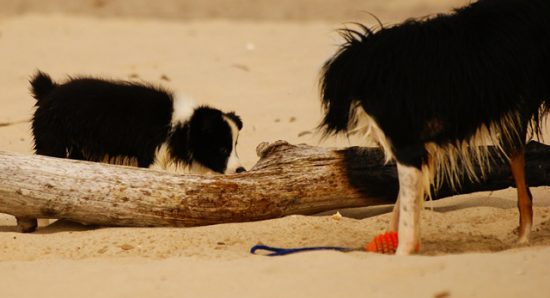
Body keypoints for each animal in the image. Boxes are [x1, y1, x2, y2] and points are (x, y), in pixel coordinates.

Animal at [30, 70, 246, 175]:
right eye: (221, 149)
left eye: (235, 147)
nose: (241, 170)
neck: (181, 126)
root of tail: (49, 91)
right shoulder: (152, 155)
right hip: (53, 142)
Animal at [322, 0, 548, 254]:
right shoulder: (419, 149)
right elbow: (401, 206)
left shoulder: (406, 145)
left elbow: (407, 218)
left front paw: (402, 252)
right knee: (523, 188)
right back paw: (522, 238)